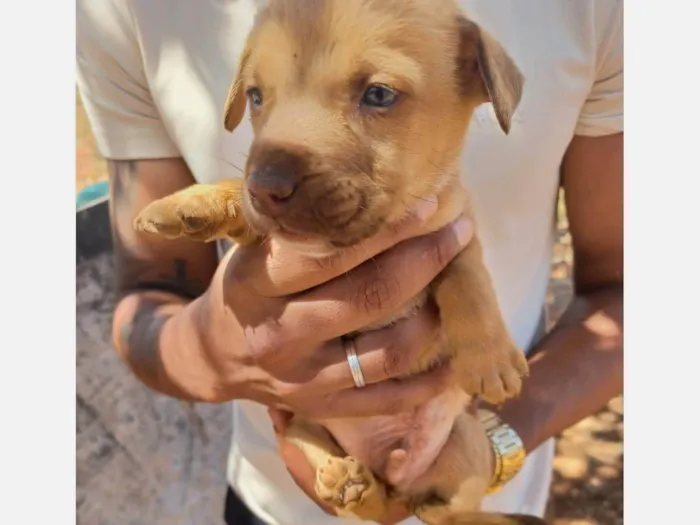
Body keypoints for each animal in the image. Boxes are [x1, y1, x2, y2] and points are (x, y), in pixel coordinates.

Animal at [135, 1, 540, 524]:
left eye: (379, 94)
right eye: (256, 96)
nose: (265, 185)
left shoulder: (452, 227)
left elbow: (467, 275)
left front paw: (489, 355)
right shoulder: (262, 233)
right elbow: (234, 199)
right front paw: (192, 204)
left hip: (465, 444)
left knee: (443, 512)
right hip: (299, 424)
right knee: (366, 490)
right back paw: (350, 482)